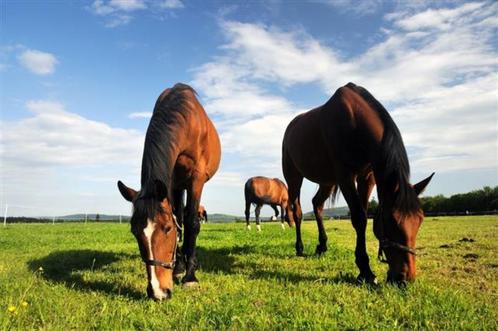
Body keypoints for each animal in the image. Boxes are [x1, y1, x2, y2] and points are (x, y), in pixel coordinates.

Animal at [117, 83, 221, 300]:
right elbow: (179, 221)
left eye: (166, 229)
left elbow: (192, 224)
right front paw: (180, 268)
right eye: (134, 231)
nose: (158, 292)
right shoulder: (171, 182)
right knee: (180, 216)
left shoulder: (196, 179)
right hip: (178, 185)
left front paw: (190, 277)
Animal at [282, 83, 434, 286]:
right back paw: (299, 247)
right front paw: (365, 270)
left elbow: (363, 214)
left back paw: (322, 245)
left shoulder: (367, 176)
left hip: (327, 181)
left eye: (420, 220)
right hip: (294, 178)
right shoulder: (345, 176)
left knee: (317, 204)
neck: (354, 120)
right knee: (297, 211)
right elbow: (359, 218)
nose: (405, 279)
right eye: (391, 221)